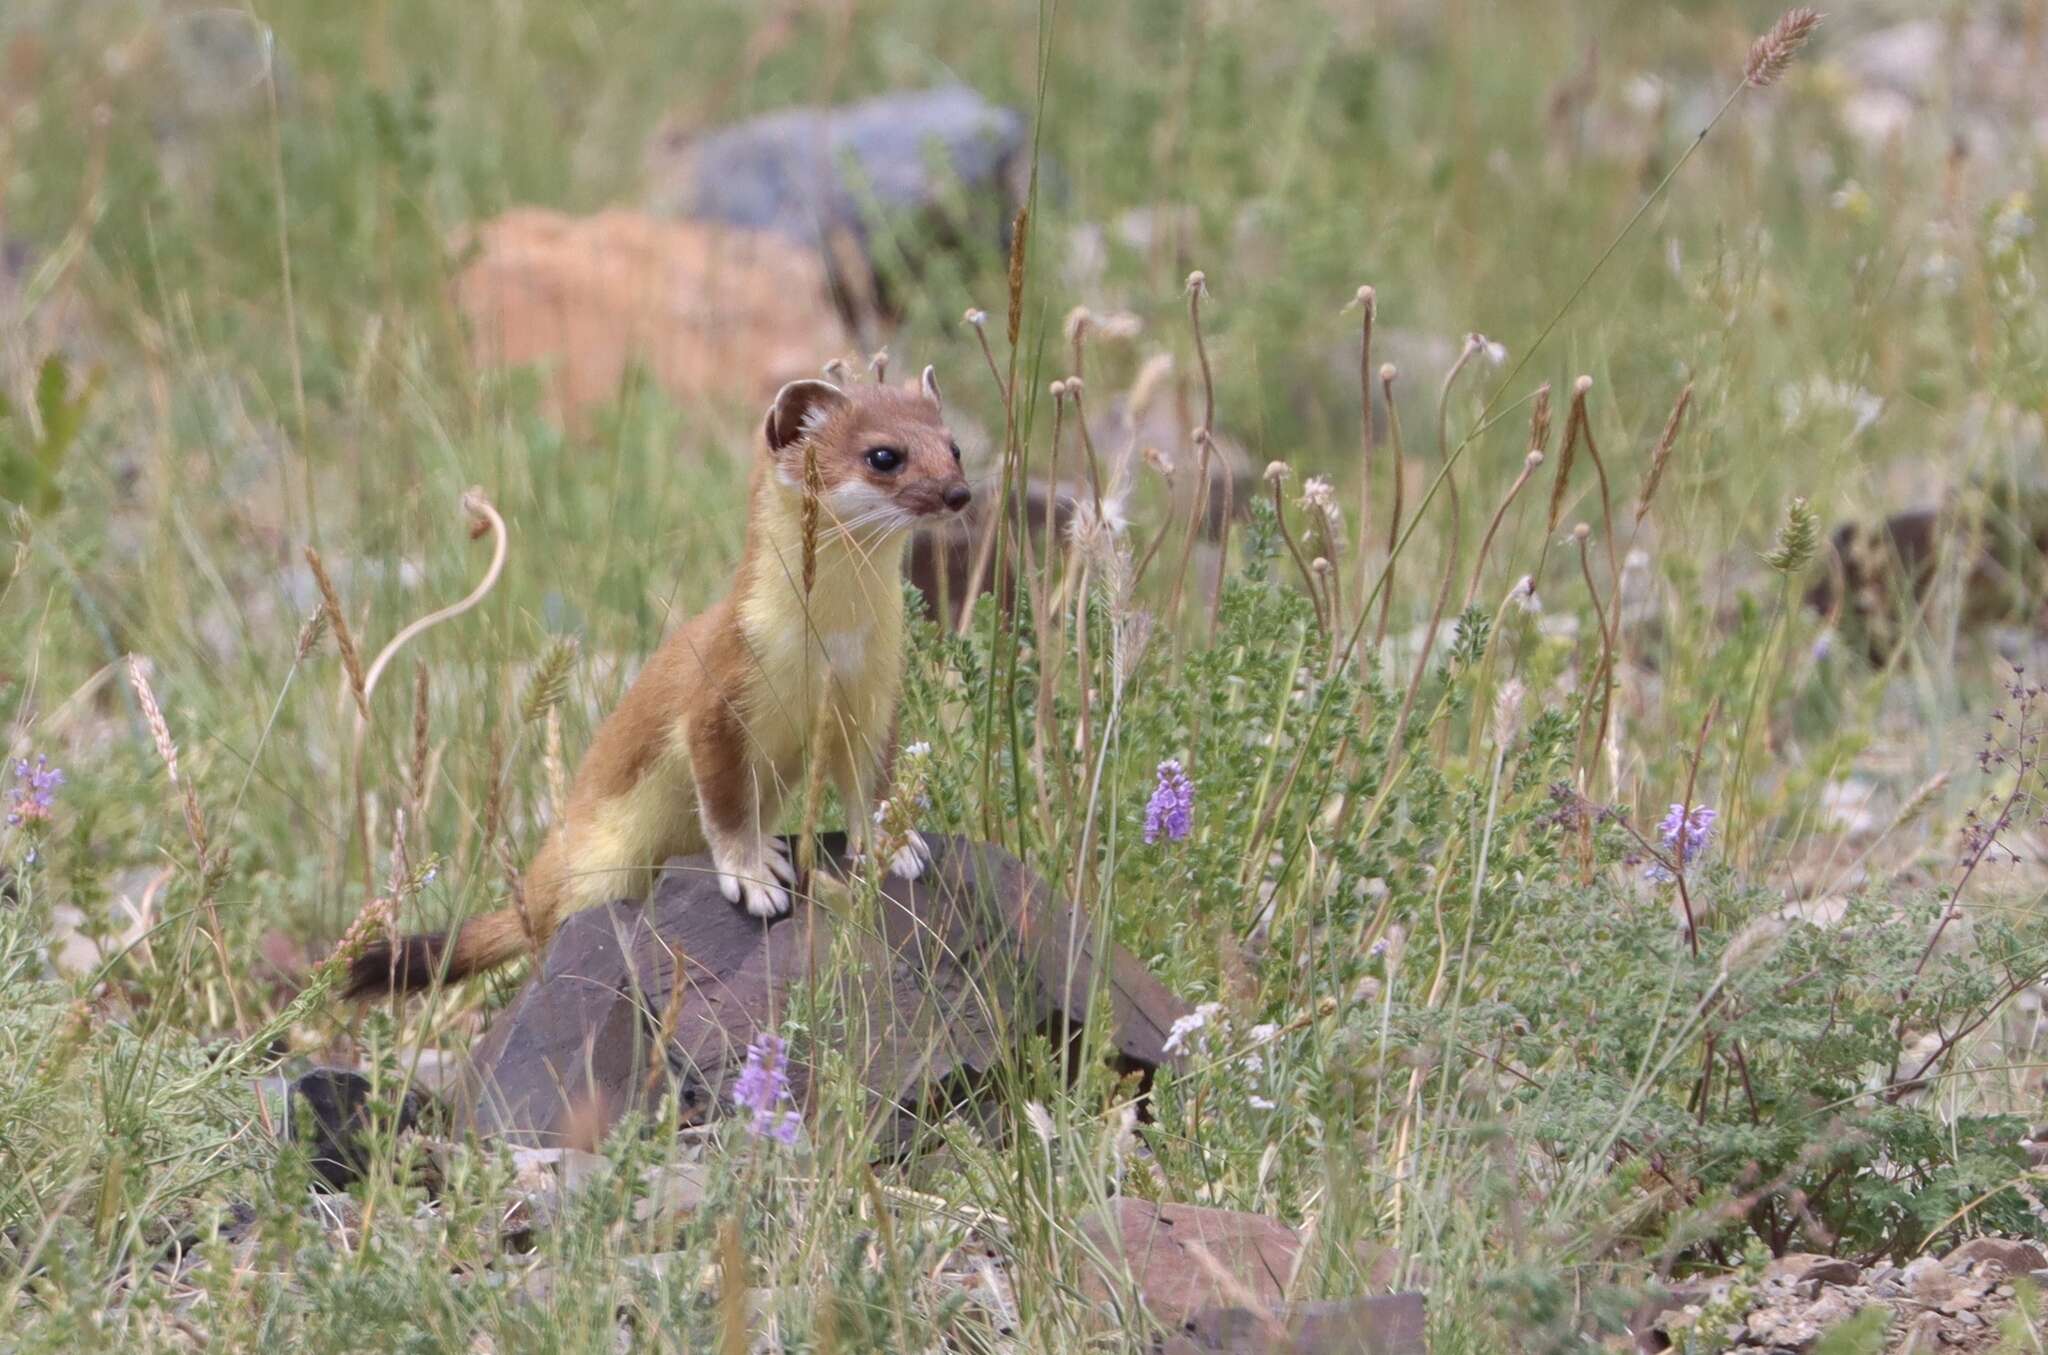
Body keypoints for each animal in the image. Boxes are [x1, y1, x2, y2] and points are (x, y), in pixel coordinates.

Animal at [344, 372, 966, 998]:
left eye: (955, 446)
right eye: (883, 456)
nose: (957, 494)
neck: (833, 647)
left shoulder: (874, 694)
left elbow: (872, 782)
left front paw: (896, 844)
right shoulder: (720, 696)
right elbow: (724, 801)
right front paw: (753, 875)